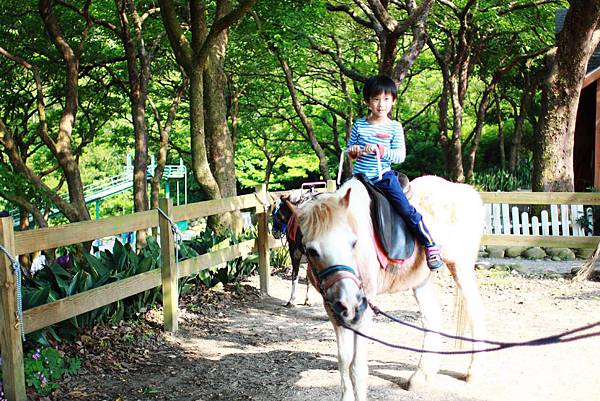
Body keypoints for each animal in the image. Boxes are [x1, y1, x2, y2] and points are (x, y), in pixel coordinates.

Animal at [296, 175, 486, 400]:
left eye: (353, 243)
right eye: (311, 250)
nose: (349, 301)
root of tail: (467, 192)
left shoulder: (363, 310)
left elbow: (357, 367)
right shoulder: (333, 309)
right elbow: (343, 361)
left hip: (461, 268)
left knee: (475, 312)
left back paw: (474, 371)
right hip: (421, 280)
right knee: (432, 317)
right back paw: (421, 376)